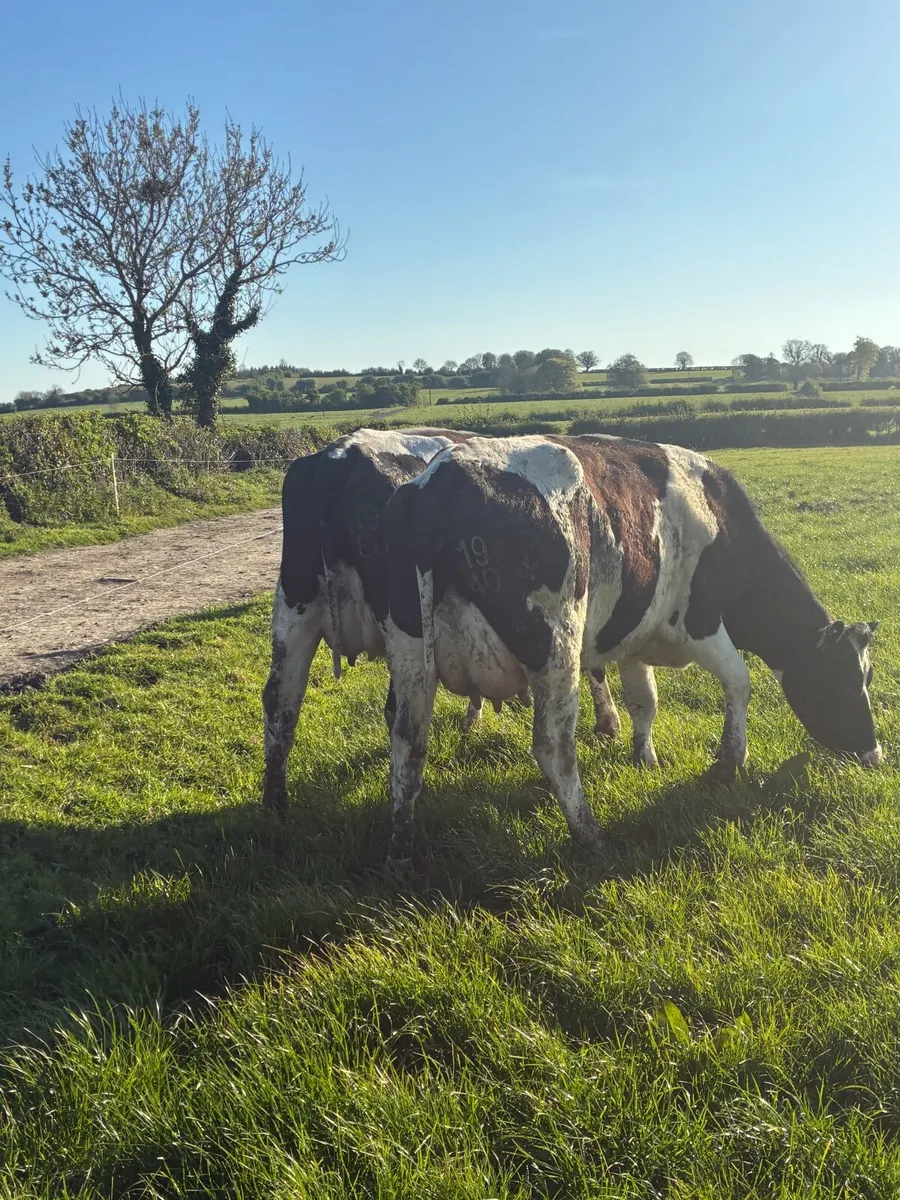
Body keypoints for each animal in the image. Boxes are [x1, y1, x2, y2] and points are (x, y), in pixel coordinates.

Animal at [261, 428, 624, 812]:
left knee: (280, 700)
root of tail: (337, 456)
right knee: (394, 713)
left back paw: (275, 803)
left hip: (296, 607)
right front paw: (609, 724)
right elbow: (595, 662)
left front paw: (473, 715)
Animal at [383, 434, 882, 859]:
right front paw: (727, 763)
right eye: (841, 681)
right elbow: (740, 684)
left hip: (410, 654)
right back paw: (589, 833)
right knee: (552, 744)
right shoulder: (697, 624)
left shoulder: (636, 640)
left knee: (409, 736)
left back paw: (402, 839)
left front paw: (645, 758)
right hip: (557, 647)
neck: (724, 526)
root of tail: (441, 479)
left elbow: (645, 701)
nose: (875, 751)